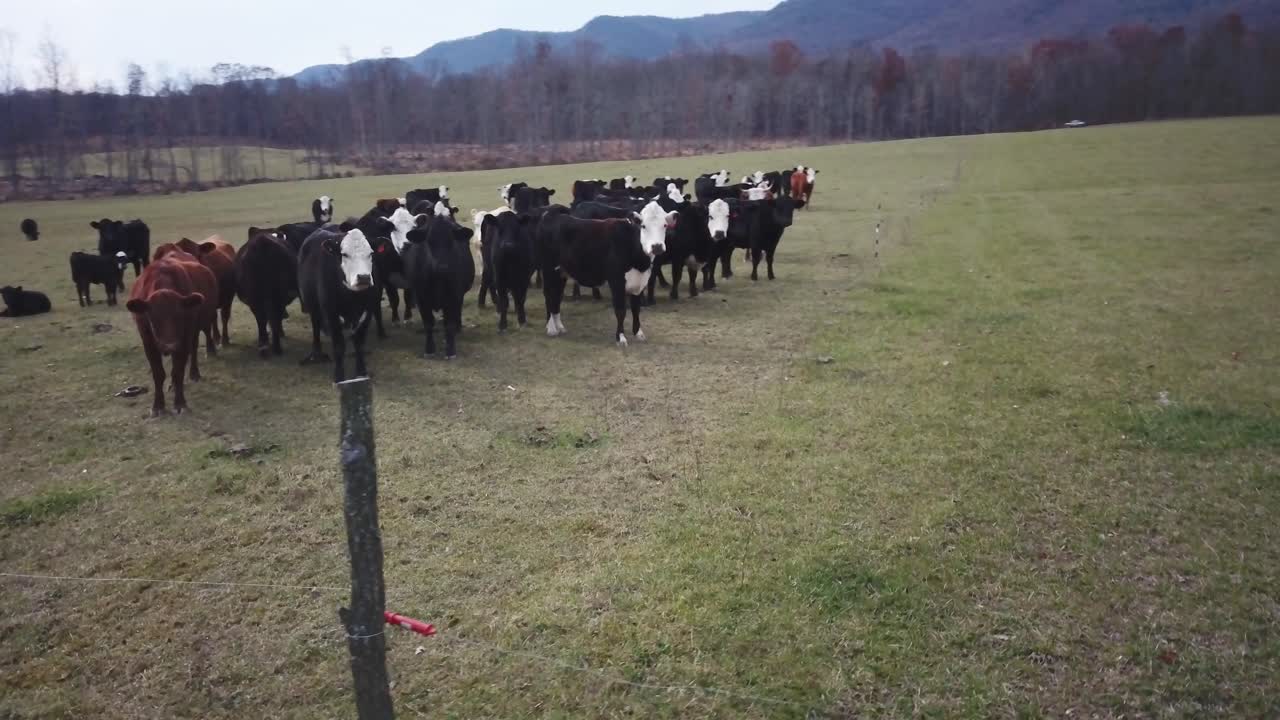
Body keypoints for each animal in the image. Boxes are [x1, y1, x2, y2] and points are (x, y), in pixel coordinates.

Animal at [126, 251, 218, 417]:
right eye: (152, 317)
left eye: (179, 315)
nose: (169, 346)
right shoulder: (148, 342)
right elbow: (158, 373)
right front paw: (158, 406)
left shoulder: (184, 339)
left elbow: (178, 371)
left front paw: (180, 403)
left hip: (199, 325)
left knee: (194, 348)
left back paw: (194, 373)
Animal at [236, 228, 299, 358]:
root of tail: (262, 243)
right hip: (274, 296)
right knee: (272, 317)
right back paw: (275, 346)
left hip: (257, 298)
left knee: (263, 318)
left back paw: (265, 347)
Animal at [298, 226, 384, 382]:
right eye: (344, 254)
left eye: (371, 253)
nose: (363, 277)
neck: (352, 299)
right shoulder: (331, 315)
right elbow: (338, 346)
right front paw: (339, 376)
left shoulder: (367, 312)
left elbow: (359, 344)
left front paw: (361, 372)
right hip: (313, 308)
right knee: (315, 326)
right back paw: (316, 353)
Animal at [402, 216, 475, 359]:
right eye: (429, 241)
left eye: (451, 241)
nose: (442, 267)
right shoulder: (421, 298)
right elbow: (428, 323)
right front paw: (429, 349)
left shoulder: (454, 296)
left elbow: (450, 324)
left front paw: (450, 351)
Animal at [535, 205, 661, 347]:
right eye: (643, 226)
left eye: (665, 225)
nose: (657, 246)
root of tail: (551, 215)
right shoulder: (616, 281)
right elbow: (620, 310)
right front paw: (621, 338)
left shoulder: (639, 282)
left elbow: (636, 309)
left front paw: (638, 333)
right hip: (548, 269)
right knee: (549, 295)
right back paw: (551, 328)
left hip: (561, 272)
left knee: (557, 296)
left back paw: (560, 327)